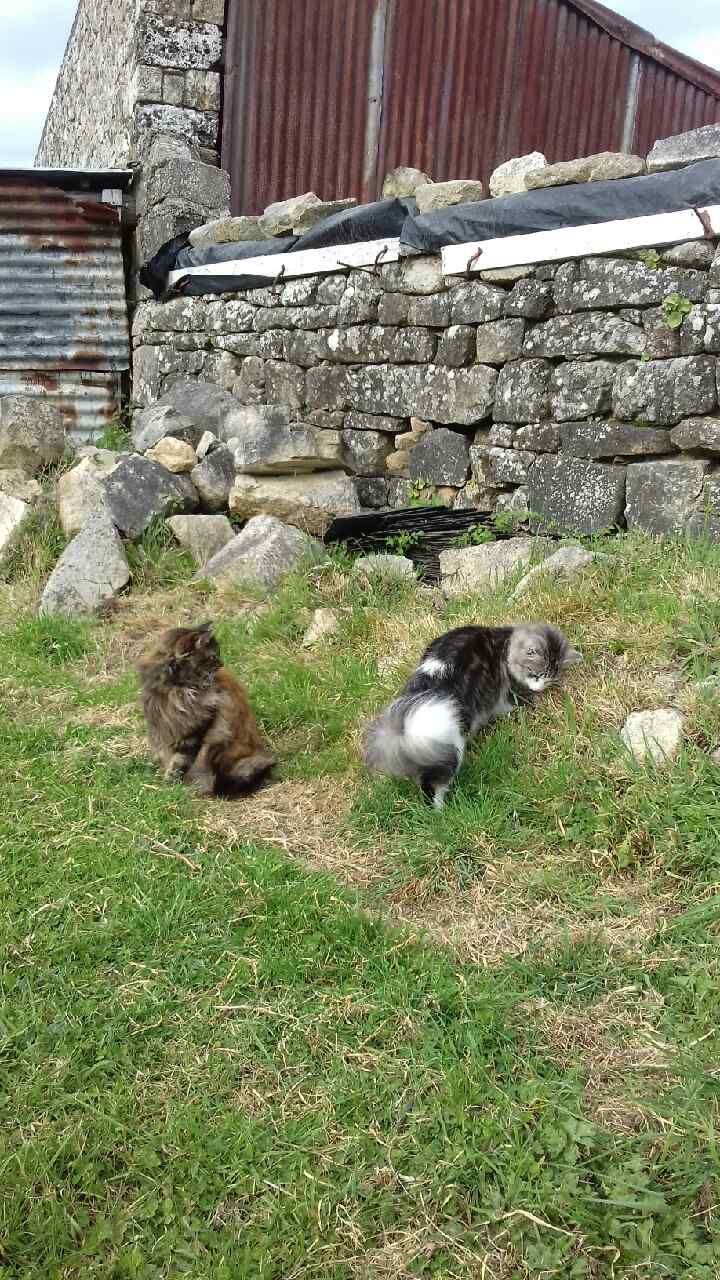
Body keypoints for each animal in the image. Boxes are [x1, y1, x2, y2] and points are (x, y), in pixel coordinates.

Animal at [135, 622, 272, 793]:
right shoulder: (162, 724)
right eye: (213, 656)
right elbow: (166, 756)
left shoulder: (194, 733)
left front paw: (171, 784)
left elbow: (179, 761)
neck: (177, 689)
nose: (222, 664)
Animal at [361, 622, 579, 808]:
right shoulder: (504, 696)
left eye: (549, 678)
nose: (540, 687)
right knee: (433, 789)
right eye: (536, 675)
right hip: (450, 748)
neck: (505, 642)